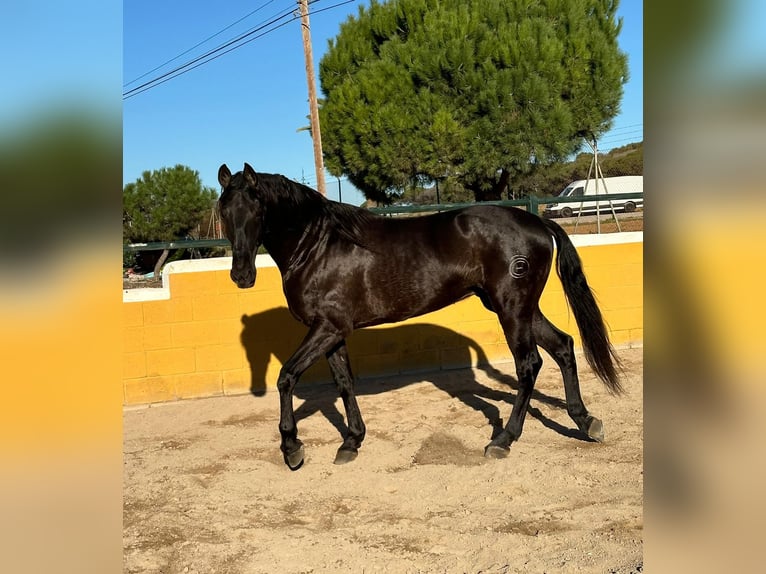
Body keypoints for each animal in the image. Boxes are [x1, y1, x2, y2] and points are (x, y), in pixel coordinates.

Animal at [218, 164, 624, 470]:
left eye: (256, 210)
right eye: (224, 212)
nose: (241, 275)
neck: (318, 245)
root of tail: (537, 224)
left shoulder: (327, 328)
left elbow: (286, 378)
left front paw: (292, 449)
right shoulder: (333, 332)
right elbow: (344, 383)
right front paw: (351, 442)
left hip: (512, 309)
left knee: (529, 365)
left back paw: (503, 439)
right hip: (519, 309)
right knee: (564, 347)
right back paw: (586, 422)